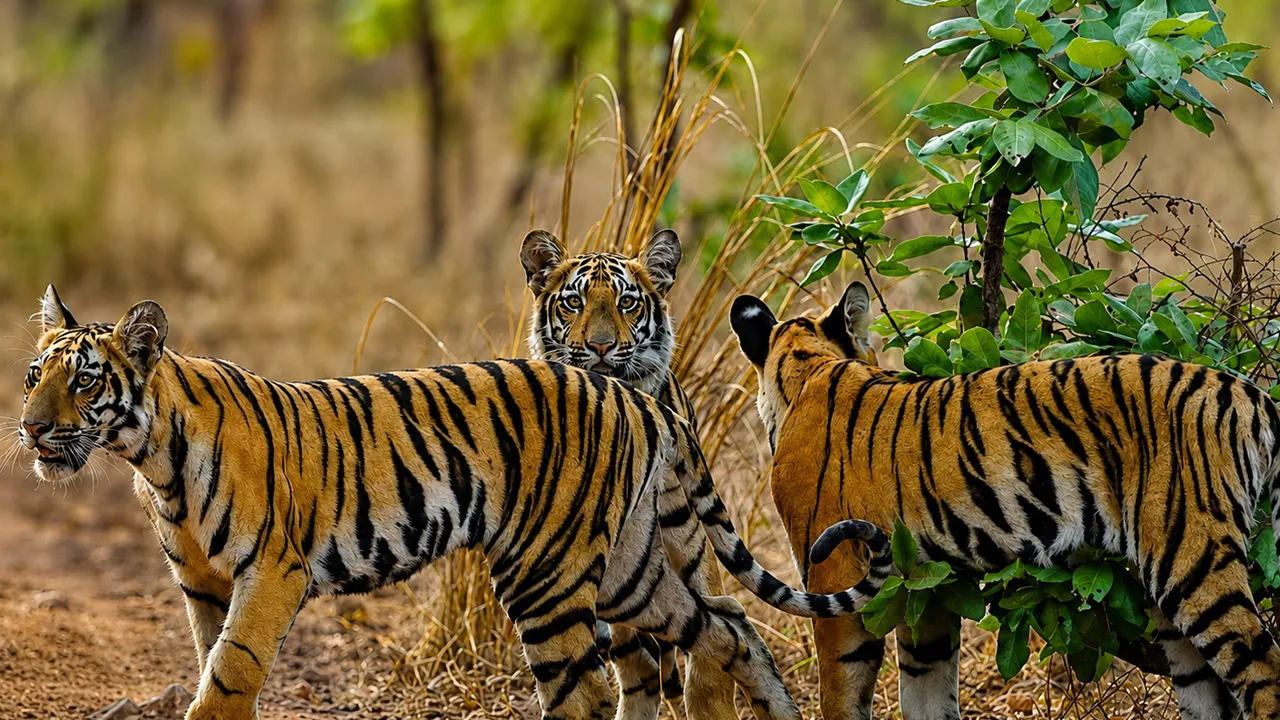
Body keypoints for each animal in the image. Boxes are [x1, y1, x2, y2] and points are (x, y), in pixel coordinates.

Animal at [19, 286, 886, 720]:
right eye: (35, 374)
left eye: (85, 380)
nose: (27, 428)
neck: (150, 458)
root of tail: (637, 396)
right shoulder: (201, 582)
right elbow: (213, 662)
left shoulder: (271, 571)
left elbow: (229, 673)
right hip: (627, 567)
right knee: (729, 622)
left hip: (547, 572)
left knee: (585, 693)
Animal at [520, 227, 739, 719]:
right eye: (574, 302)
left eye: (627, 303)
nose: (601, 346)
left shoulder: (687, 530)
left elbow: (712, 621)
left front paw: (710, 699)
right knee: (634, 664)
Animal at [729, 280, 1280, 720]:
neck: (808, 369)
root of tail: (1252, 395)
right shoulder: (926, 596)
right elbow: (927, 695)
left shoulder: (835, 580)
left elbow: (842, 694)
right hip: (1170, 596)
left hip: (1194, 556)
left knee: (1263, 672)